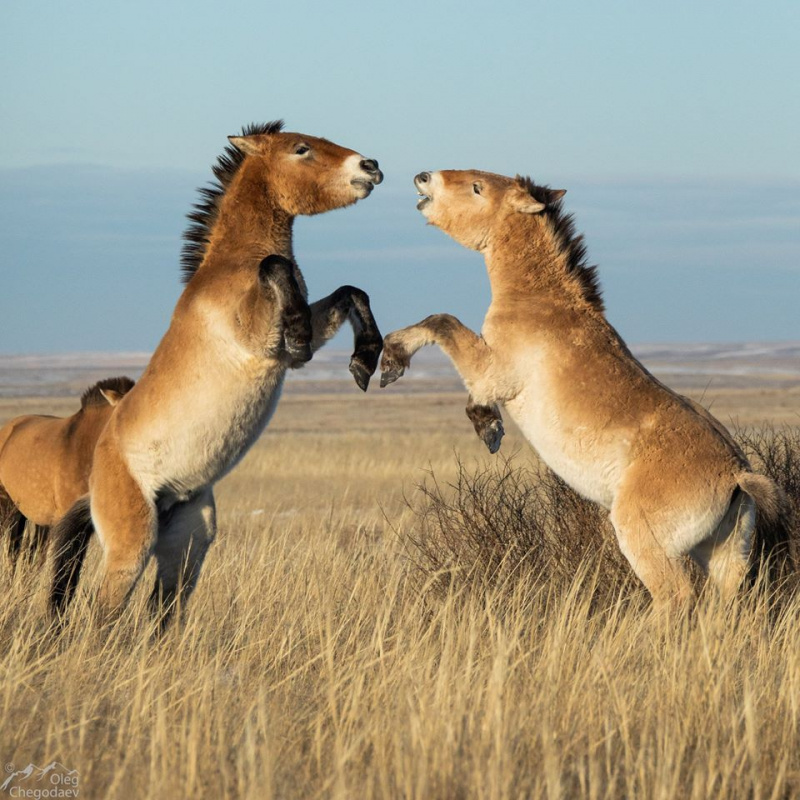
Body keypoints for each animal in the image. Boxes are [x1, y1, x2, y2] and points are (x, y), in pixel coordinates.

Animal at [53, 123, 384, 624]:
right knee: (105, 612)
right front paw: (303, 334)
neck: (233, 264)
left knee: (162, 612)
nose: (370, 167)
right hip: (132, 543)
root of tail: (97, 469)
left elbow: (351, 292)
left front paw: (366, 361)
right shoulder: (259, 335)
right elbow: (276, 266)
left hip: (189, 540)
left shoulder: (289, 344)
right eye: (301, 148)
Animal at [382, 169, 792, 608]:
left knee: (674, 596)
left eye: (478, 187)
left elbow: (441, 321)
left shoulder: (493, 371)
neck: (540, 301)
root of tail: (737, 475)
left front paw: (390, 361)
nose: (424, 178)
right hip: (723, 556)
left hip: (646, 544)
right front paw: (486, 426)